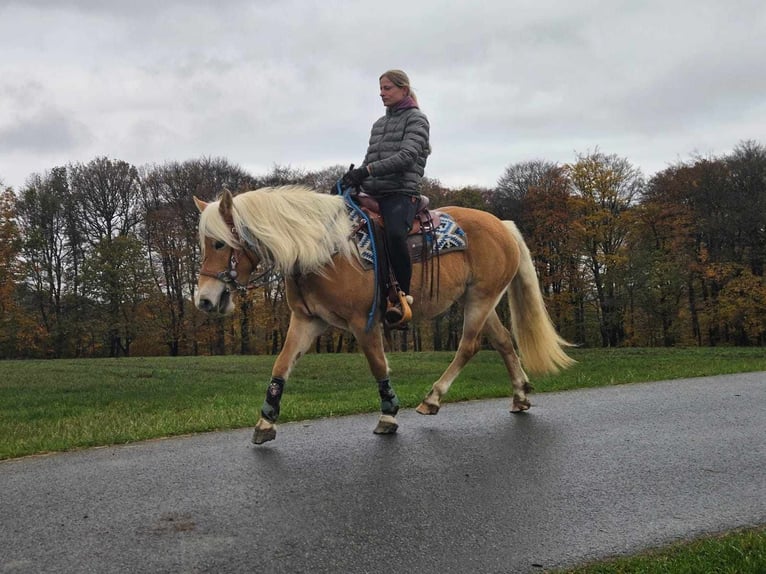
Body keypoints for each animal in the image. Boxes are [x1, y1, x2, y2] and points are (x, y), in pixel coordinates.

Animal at [195, 186, 572, 446]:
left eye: (218, 243)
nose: (204, 300)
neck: (323, 251)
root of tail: (503, 225)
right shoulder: (306, 321)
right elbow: (281, 365)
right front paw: (266, 422)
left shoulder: (363, 323)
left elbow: (378, 365)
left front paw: (389, 415)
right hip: (479, 300)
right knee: (504, 342)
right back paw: (520, 395)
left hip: (480, 299)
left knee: (469, 345)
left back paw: (433, 398)